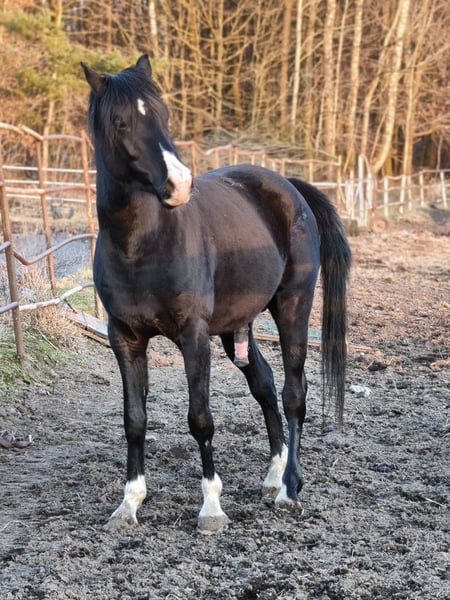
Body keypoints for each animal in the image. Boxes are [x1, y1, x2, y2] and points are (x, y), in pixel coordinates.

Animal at [81, 55, 351, 534]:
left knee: (293, 393)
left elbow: (201, 419)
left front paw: (211, 508)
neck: (142, 245)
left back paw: (289, 488)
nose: (179, 184)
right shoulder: (124, 338)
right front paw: (129, 503)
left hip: (292, 307)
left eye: (164, 115)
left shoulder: (193, 336)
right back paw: (274, 474)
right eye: (120, 122)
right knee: (264, 385)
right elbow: (134, 419)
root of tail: (288, 185)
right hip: (234, 329)